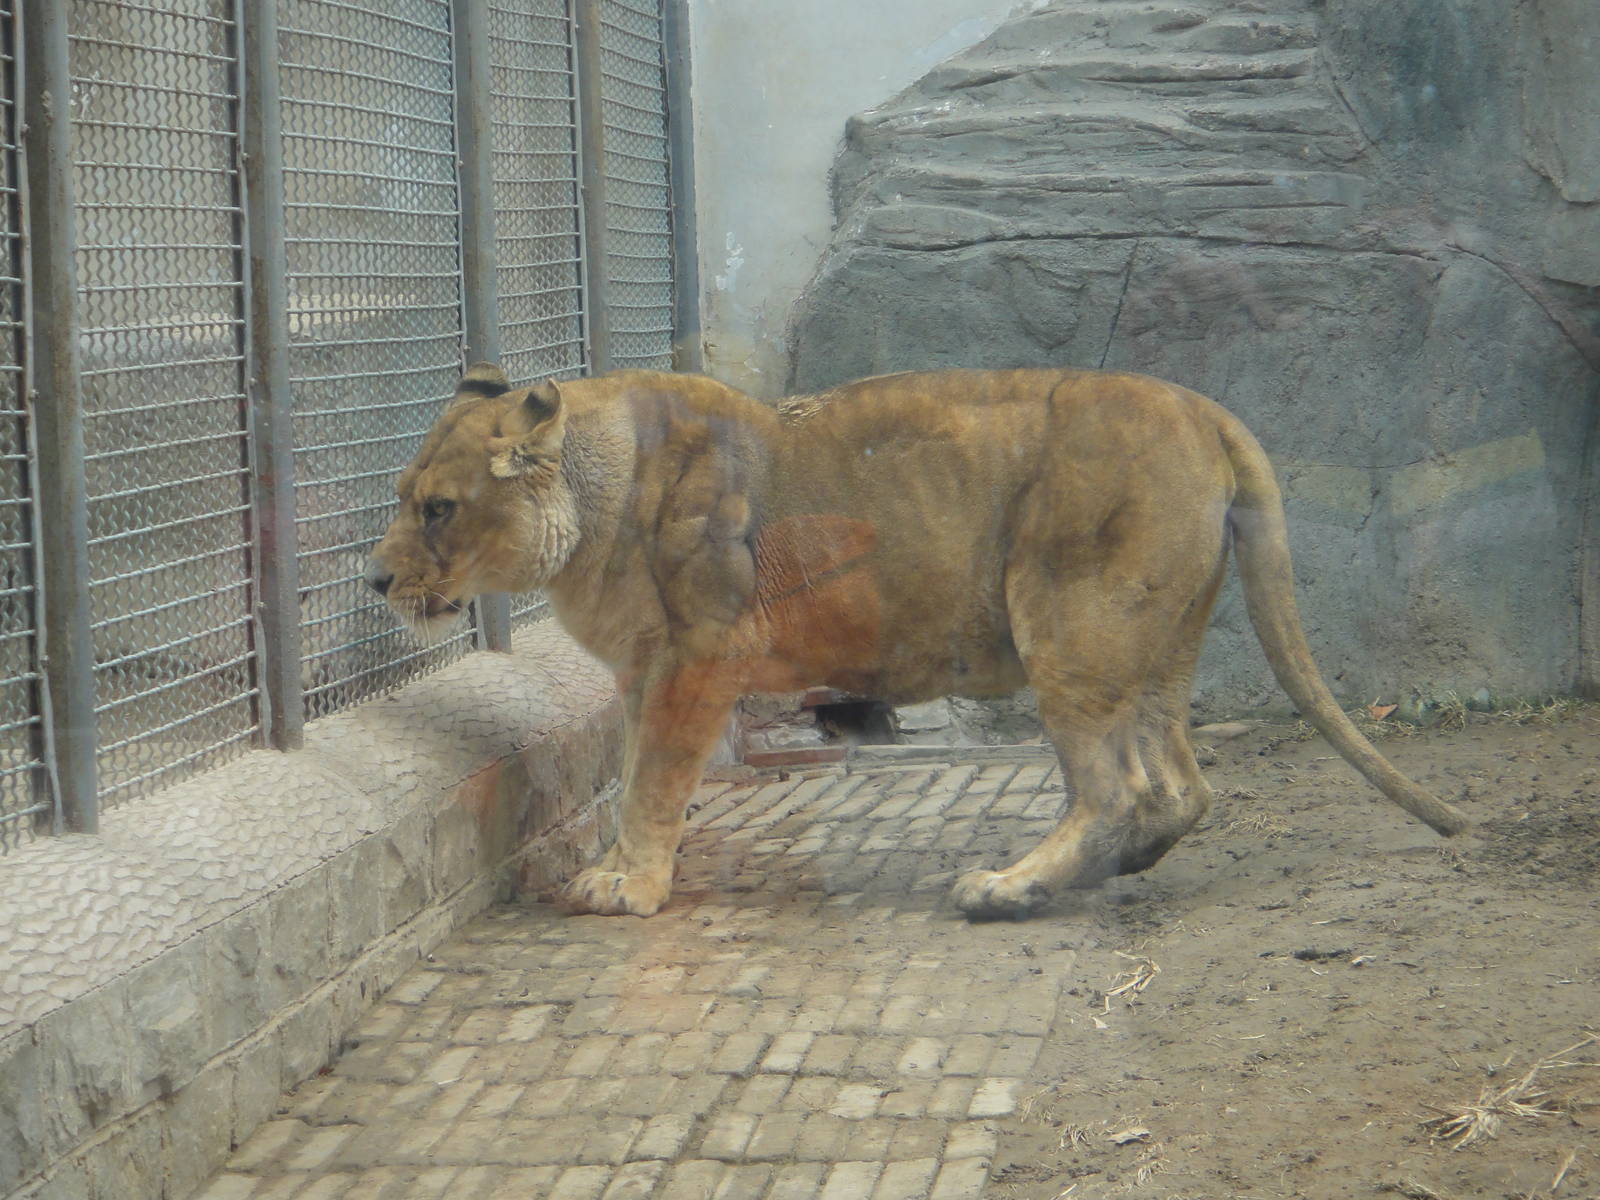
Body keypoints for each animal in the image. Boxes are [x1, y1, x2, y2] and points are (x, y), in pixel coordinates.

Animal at [367, 364, 1468, 919]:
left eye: (436, 509)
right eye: (404, 499)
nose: (376, 579)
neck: (591, 501)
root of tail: (1201, 407)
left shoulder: (700, 655)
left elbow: (655, 781)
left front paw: (625, 884)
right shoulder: (646, 671)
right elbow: (636, 770)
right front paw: (612, 862)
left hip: (1069, 620)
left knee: (1119, 788)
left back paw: (1011, 889)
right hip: (1154, 644)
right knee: (1181, 788)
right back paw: (1117, 867)